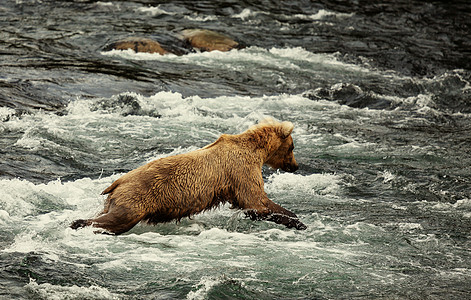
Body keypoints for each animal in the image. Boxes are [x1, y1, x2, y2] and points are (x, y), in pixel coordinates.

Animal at [70, 118, 306, 234]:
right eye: (293, 146)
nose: (295, 166)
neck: (256, 151)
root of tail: (117, 181)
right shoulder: (241, 171)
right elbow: (256, 202)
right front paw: (297, 221)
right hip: (136, 199)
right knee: (116, 220)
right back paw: (78, 223)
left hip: (118, 200)